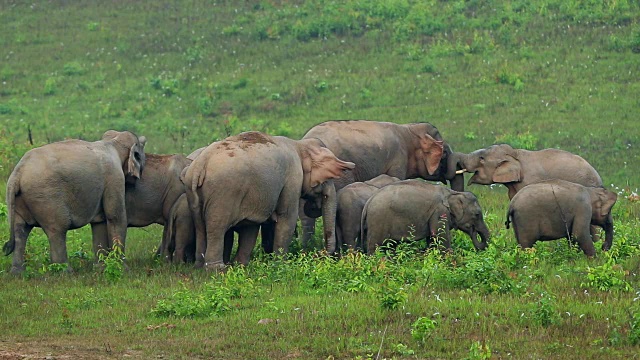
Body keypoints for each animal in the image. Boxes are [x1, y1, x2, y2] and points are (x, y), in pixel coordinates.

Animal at [4, 131, 146, 274]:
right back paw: (66, 272)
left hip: (21, 199)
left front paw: (100, 269)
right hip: (46, 197)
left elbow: (99, 221)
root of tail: (17, 174)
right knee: (57, 228)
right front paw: (124, 270)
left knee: (20, 230)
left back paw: (18, 273)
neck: (113, 141)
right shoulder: (115, 176)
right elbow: (115, 217)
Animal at [181, 130, 356, 270]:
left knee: (200, 226)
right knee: (217, 228)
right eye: (327, 179)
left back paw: (199, 267)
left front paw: (241, 265)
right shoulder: (292, 178)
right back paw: (217, 270)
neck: (298, 145)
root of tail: (200, 166)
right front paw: (281, 265)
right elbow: (287, 218)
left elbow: (251, 226)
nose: (319, 254)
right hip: (223, 193)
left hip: (195, 194)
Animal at [360, 180, 490, 253]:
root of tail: (368, 203)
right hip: (378, 221)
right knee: (375, 246)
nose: (474, 231)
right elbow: (441, 239)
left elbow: (433, 240)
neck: (453, 192)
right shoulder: (439, 212)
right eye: (477, 214)